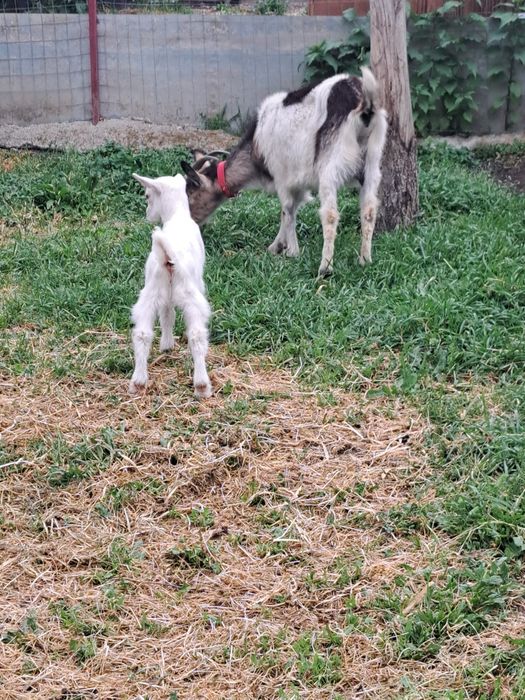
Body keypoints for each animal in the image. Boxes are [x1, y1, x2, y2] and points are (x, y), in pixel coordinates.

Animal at [129, 173, 212, 399]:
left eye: (147, 195)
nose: (148, 214)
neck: (177, 215)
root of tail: (168, 257)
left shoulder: (163, 296)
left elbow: (166, 316)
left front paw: (166, 347)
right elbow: (169, 316)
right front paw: (168, 345)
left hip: (150, 292)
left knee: (142, 333)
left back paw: (138, 382)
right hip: (191, 295)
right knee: (196, 335)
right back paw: (202, 385)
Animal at [181, 68, 387, 278]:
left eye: (190, 194)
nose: (191, 224)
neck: (257, 145)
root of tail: (364, 104)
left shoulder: (282, 176)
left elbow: (286, 209)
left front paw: (291, 251)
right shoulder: (296, 182)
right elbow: (290, 209)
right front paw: (277, 246)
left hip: (330, 164)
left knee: (330, 214)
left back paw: (325, 268)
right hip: (372, 162)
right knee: (369, 210)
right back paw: (365, 260)